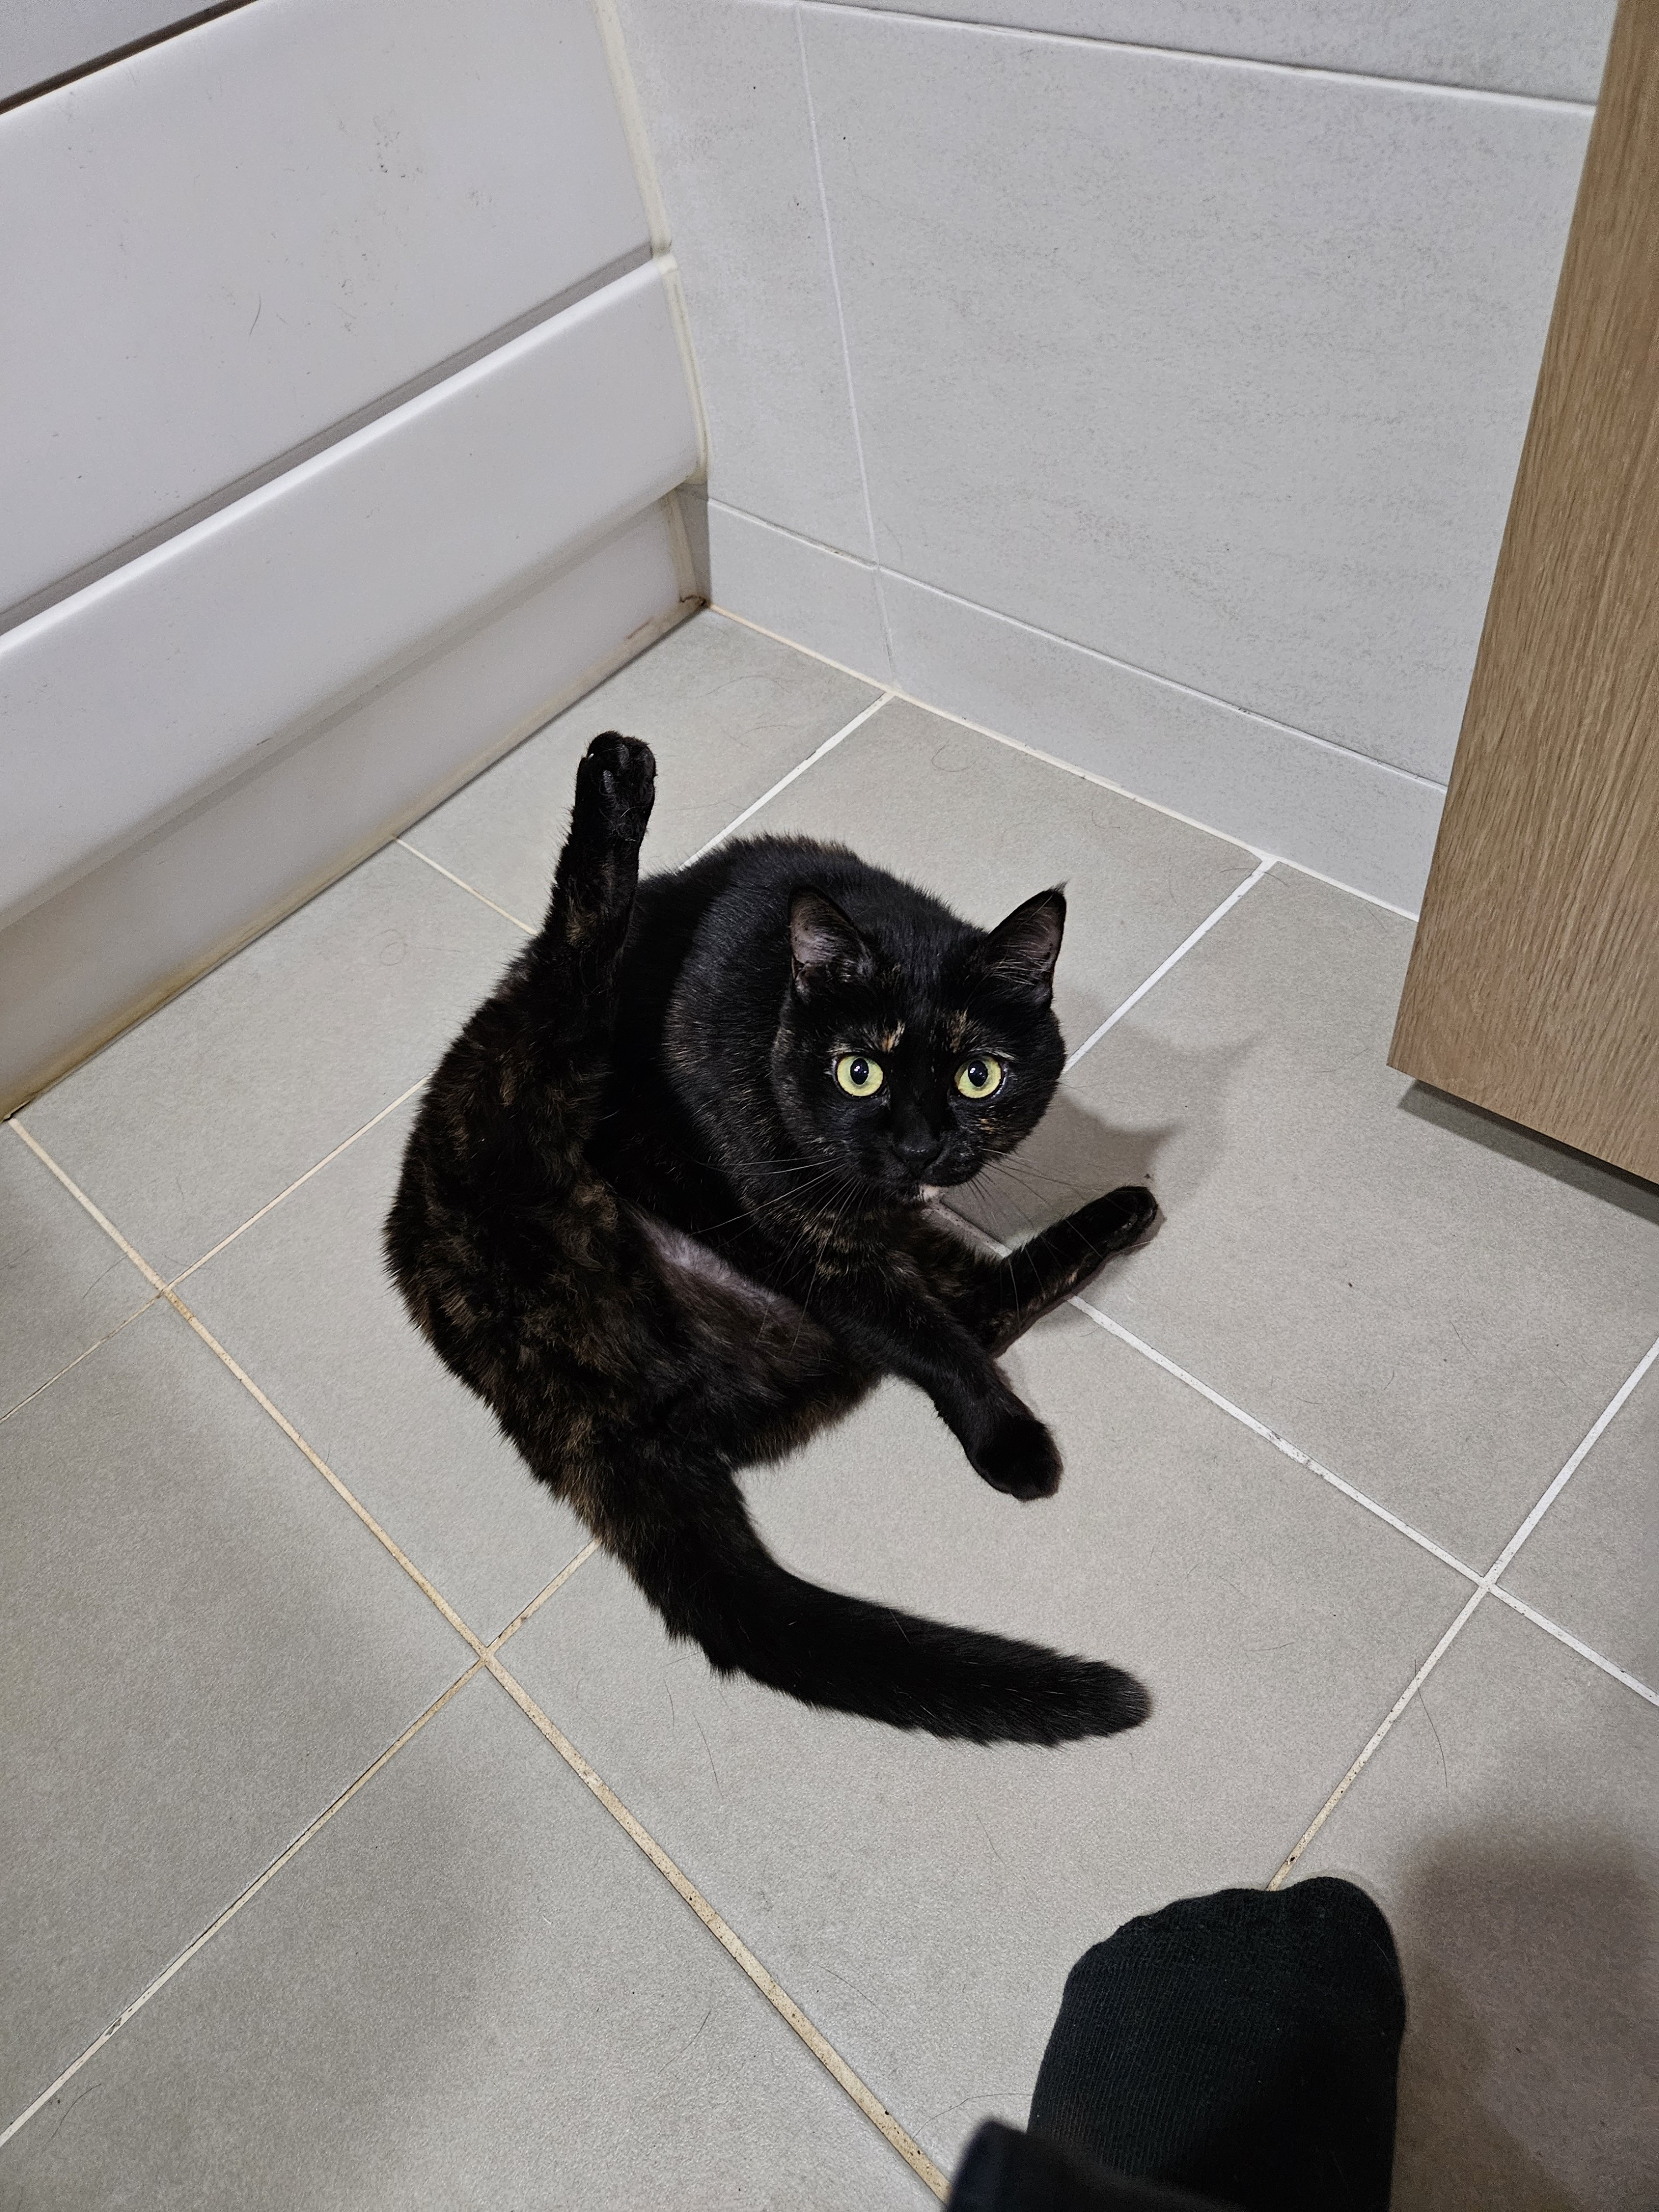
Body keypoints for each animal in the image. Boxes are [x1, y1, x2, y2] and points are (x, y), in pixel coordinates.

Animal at [386, 732, 1159, 1745]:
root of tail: (547, 1392)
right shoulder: (810, 1239)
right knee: (572, 954)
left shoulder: (858, 1236)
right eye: (860, 1071)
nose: (919, 1145)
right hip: (535, 1077)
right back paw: (615, 783)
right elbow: (935, 1345)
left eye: (979, 1076)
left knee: (982, 1304)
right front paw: (1009, 1443)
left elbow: (943, 1329)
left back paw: (1126, 1211)